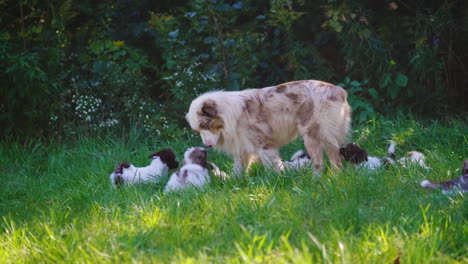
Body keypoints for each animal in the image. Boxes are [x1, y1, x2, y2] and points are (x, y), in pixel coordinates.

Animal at [186, 80, 352, 175]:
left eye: (206, 125)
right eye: (197, 131)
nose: (207, 145)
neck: (229, 116)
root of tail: (337, 90)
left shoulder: (263, 143)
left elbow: (272, 165)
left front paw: (275, 180)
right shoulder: (241, 146)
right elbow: (239, 168)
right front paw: (235, 183)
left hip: (312, 135)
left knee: (319, 163)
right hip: (327, 137)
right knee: (336, 161)